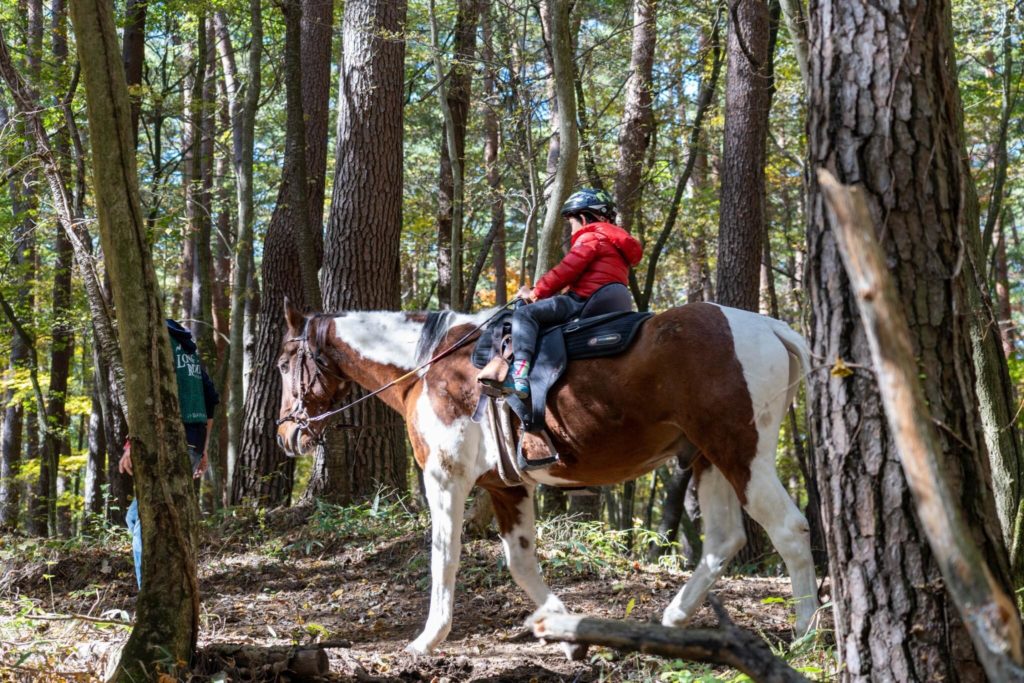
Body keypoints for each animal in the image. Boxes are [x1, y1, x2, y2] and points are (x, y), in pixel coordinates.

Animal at [276, 301, 819, 655]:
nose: (286, 434)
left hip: (739, 451)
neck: (428, 367)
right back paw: (674, 618)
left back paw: (807, 631)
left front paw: (427, 640)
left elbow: (444, 557)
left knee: (790, 529)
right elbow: (520, 563)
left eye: (283, 363)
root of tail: (770, 328)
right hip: (707, 459)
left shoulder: (445, 479)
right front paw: (565, 628)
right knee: (724, 540)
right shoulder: (506, 486)